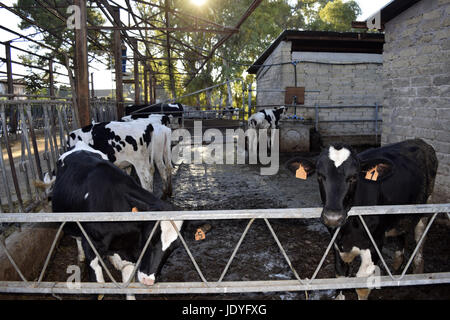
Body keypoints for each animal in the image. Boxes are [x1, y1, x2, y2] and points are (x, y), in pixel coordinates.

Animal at [50, 141, 181, 298]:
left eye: (174, 247)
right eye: (149, 237)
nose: (148, 280)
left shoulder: (128, 251)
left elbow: (128, 285)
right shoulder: (91, 244)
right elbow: (98, 288)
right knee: (77, 238)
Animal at [286, 139, 438, 298]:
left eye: (353, 177)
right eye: (320, 176)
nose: (333, 218)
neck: (349, 230)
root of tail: (419, 141)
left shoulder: (375, 243)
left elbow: (362, 286)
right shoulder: (337, 243)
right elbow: (340, 277)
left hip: (426, 205)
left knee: (420, 235)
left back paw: (418, 269)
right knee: (401, 230)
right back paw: (397, 265)